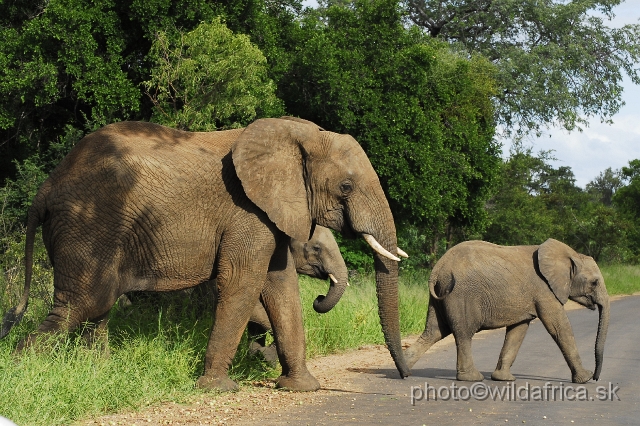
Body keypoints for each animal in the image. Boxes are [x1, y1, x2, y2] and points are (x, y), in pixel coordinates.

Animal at [0, 116, 410, 392]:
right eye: (346, 187)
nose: (405, 376)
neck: (297, 135)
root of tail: (47, 186)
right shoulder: (246, 212)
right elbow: (243, 283)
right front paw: (218, 388)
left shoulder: (268, 214)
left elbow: (281, 287)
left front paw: (300, 387)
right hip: (87, 223)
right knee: (81, 304)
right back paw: (22, 370)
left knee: (96, 309)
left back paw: (97, 371)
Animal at [404, 238, 608, 384]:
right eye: (594, 282)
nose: (597, 377)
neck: (571, 254)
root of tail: (438, 268)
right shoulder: (544, 290)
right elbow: (559, 327)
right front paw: (585, 378)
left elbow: (518, 330)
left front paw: (503, 379)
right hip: (461, 294)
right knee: (463, 333)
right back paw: (472, 378)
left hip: (441, 295)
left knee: (433, 331)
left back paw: (404, 369)